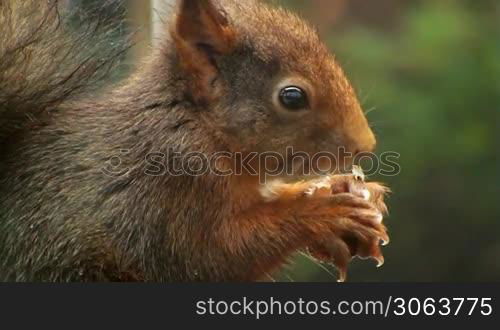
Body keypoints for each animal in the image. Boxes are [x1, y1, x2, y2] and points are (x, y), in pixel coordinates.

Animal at [0, 0, 390, 282]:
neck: (199, 126)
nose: (366, 145)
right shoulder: (171, 190)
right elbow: (215, 256)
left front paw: (339, 189)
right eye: (292, 97)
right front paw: (325, 213)